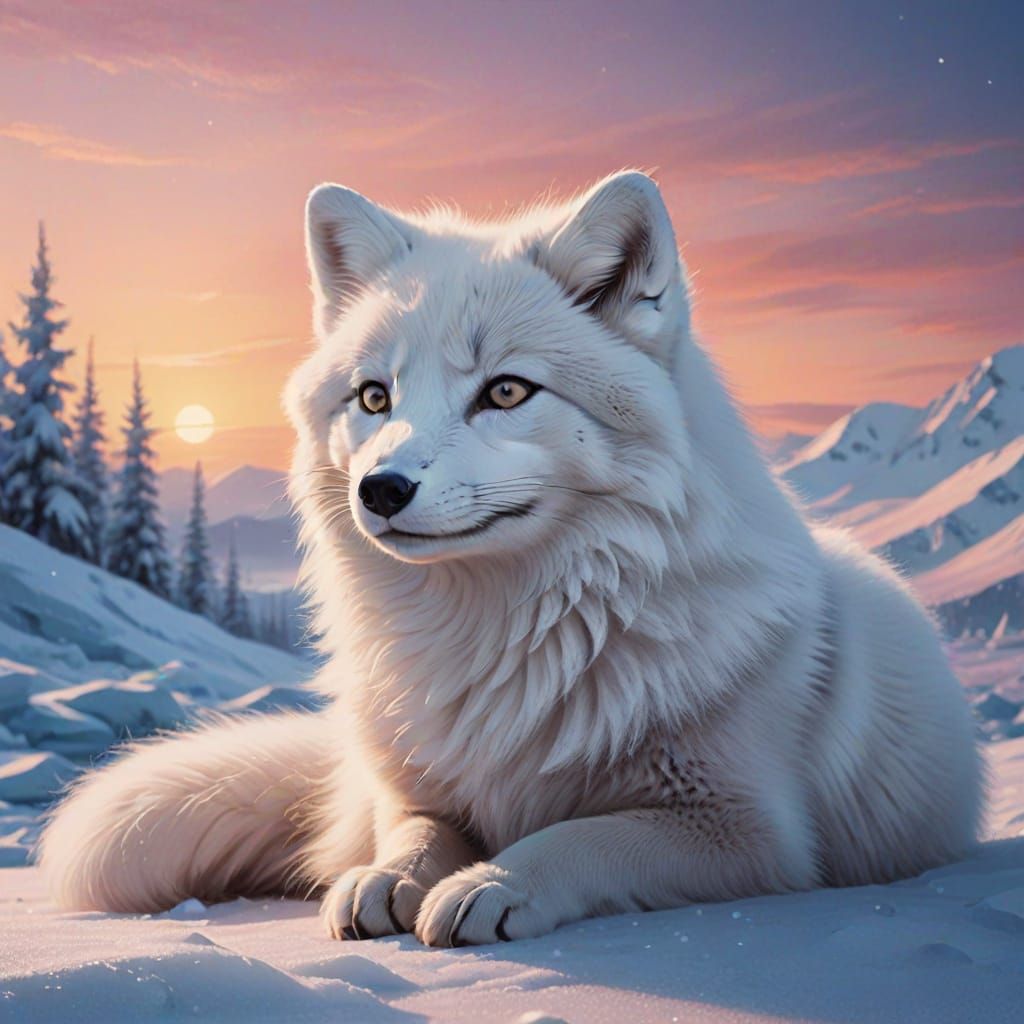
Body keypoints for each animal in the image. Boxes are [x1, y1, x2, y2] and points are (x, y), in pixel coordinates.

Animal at [39, 171, 982, 946]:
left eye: (504, 391)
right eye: (374, 397)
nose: (381, 489)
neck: (501, 639)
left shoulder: (752, 832)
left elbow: (584, 833)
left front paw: (492, 884)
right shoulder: (420, 791)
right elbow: (414, 833)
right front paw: (386, 880)